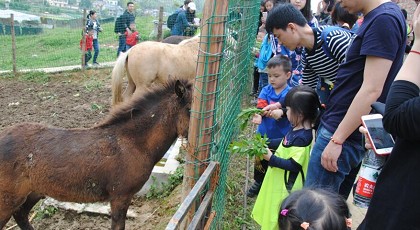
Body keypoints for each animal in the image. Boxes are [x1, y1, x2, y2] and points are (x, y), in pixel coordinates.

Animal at [0, 78, 193, 228]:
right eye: (190, 109)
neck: (133, 143)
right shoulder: (120, 197)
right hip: (8, 200)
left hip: (33, 192)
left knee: (21, 215)